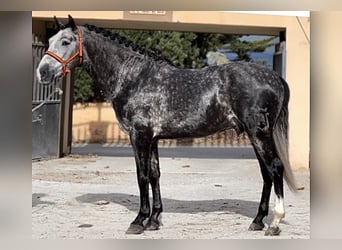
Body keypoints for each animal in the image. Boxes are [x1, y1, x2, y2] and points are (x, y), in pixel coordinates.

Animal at [36, 16, 296, 236]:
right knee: (266, 173)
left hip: (259, 133)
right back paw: (257, 220)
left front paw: (138, 221)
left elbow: (142, 176)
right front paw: (154, 220)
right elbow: (154, 175)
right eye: (49, 41)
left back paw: (274, 223)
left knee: (275, 168)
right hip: (255, 135)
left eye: (66, 41)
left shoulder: (139, 136)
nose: (42, 73)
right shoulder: (152, 138)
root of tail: (275, 78)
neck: (134, 78)